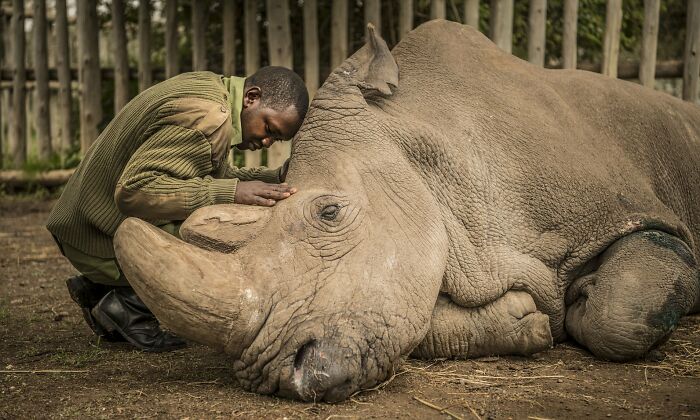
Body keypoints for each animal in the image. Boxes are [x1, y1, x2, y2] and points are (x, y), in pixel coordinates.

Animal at [113, 20, 700, 402]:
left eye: (329, 213)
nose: (279, 376)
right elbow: (417, 322)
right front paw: (528, 321)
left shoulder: (635, 215)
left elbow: (619, 313)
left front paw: (582, 300)